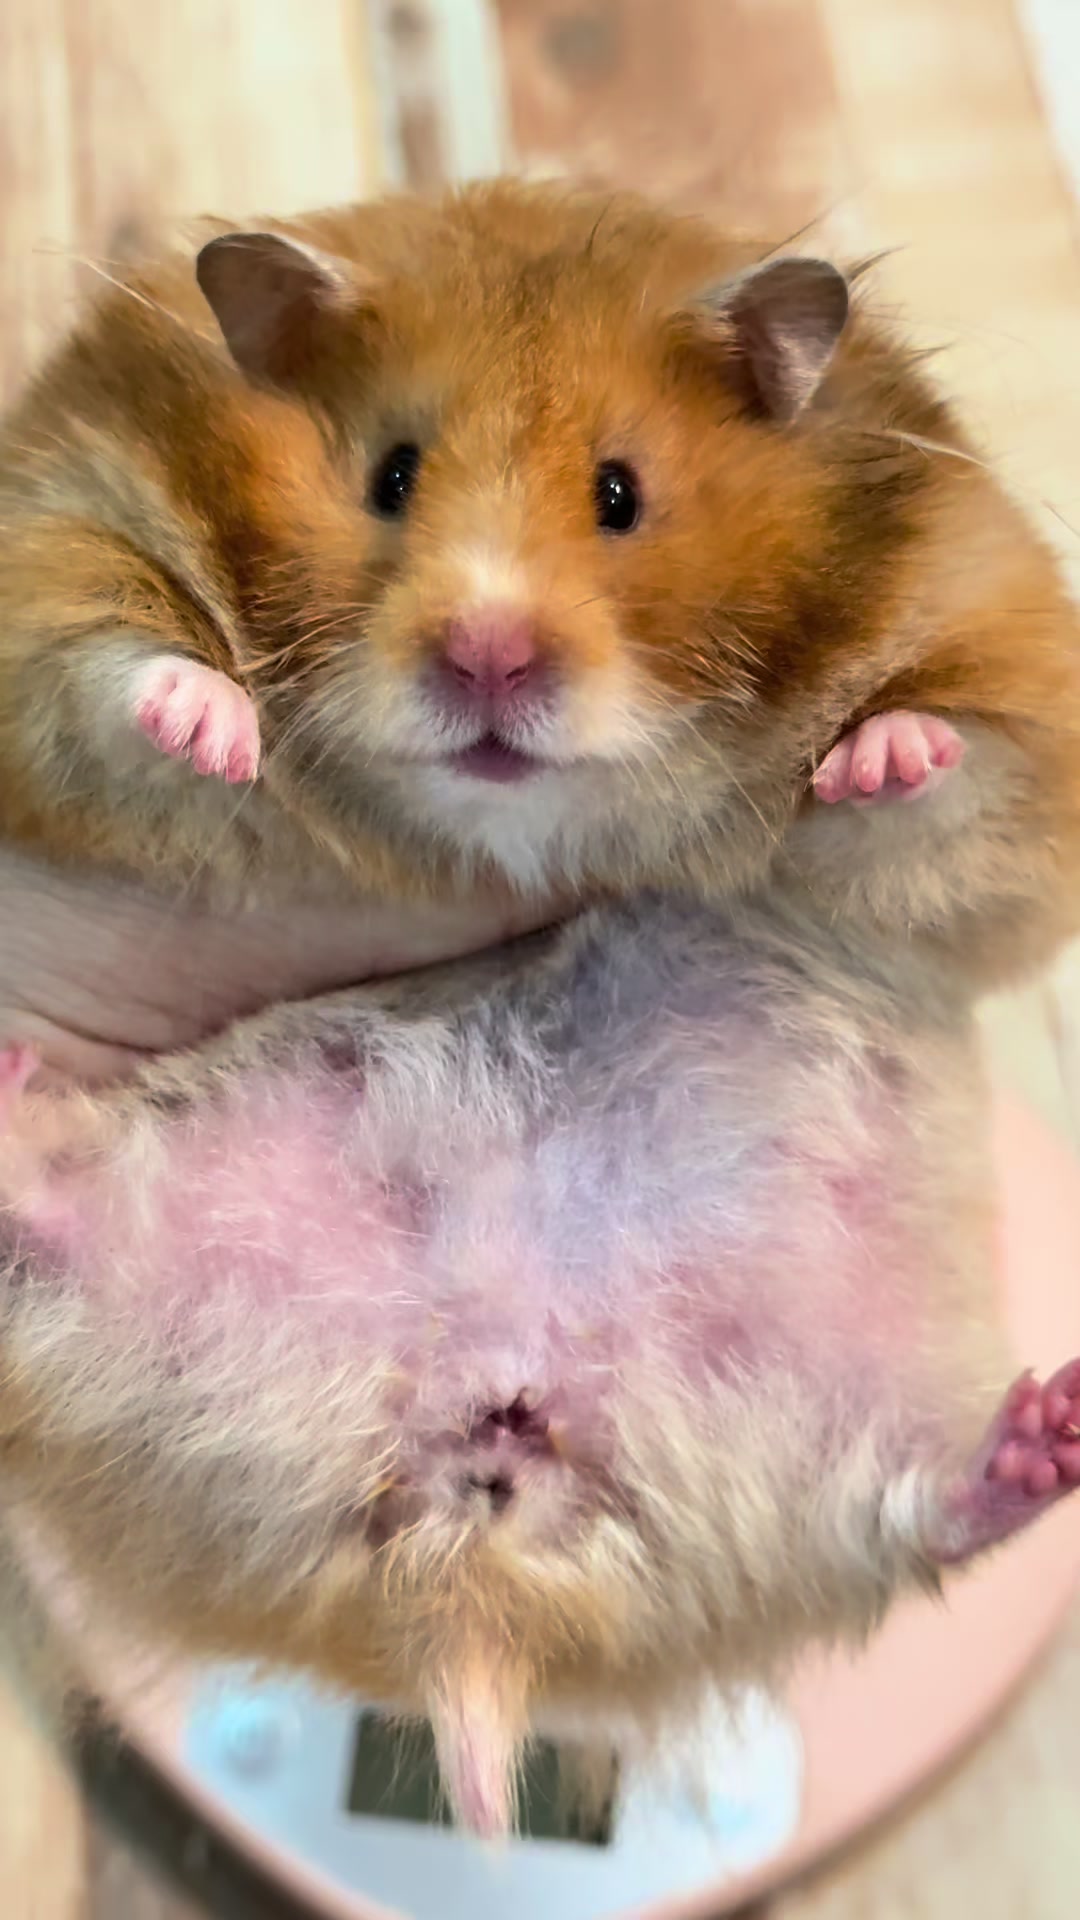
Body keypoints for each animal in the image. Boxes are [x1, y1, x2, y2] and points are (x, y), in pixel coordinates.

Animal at [2, 177, 1079, 1061]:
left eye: (619, 495)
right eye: (393, 476)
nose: (487, 659)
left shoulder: (1001, 697)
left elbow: (954, 779)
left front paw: (885, 756)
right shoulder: (59, 527)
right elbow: (114, 665)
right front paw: (213, 729)